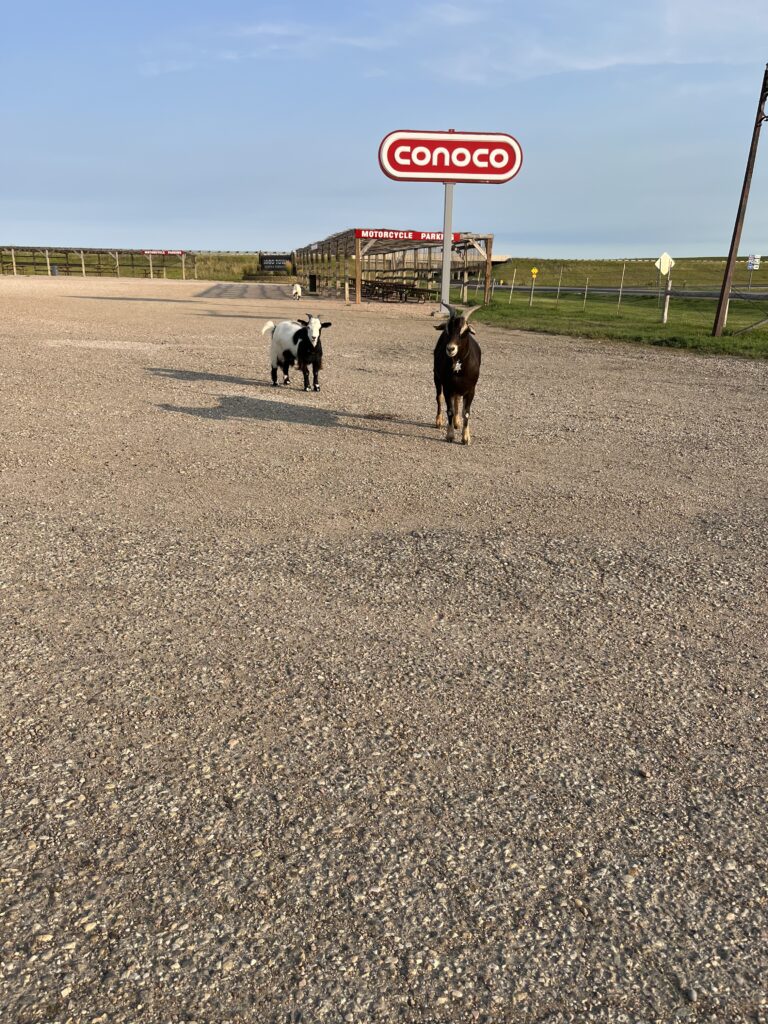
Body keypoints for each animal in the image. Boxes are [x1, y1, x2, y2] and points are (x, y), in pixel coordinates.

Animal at [434, 305, 481, 446]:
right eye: (447, 329)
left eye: (465, 330)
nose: (450, 348)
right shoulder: (448, 388)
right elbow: (450, 410)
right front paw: (450, 435)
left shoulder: (471, 389)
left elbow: (466, 412)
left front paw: (466, 437)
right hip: (437, 379)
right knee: (439, 398)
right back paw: (439, 420)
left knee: (457, 400)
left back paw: (457, 422)